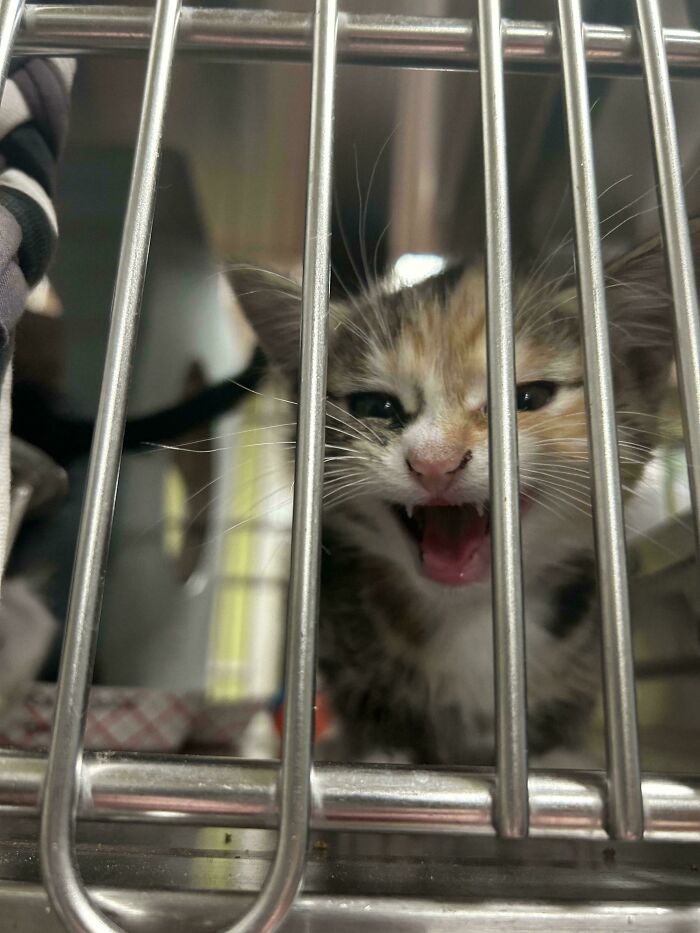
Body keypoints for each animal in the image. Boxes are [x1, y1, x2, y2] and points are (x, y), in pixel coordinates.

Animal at [230, 222, 696, 766]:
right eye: (375, 405)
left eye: (528, 397)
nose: (436, 460)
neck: (473, 612)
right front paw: (384, 750)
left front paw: (556, 754)